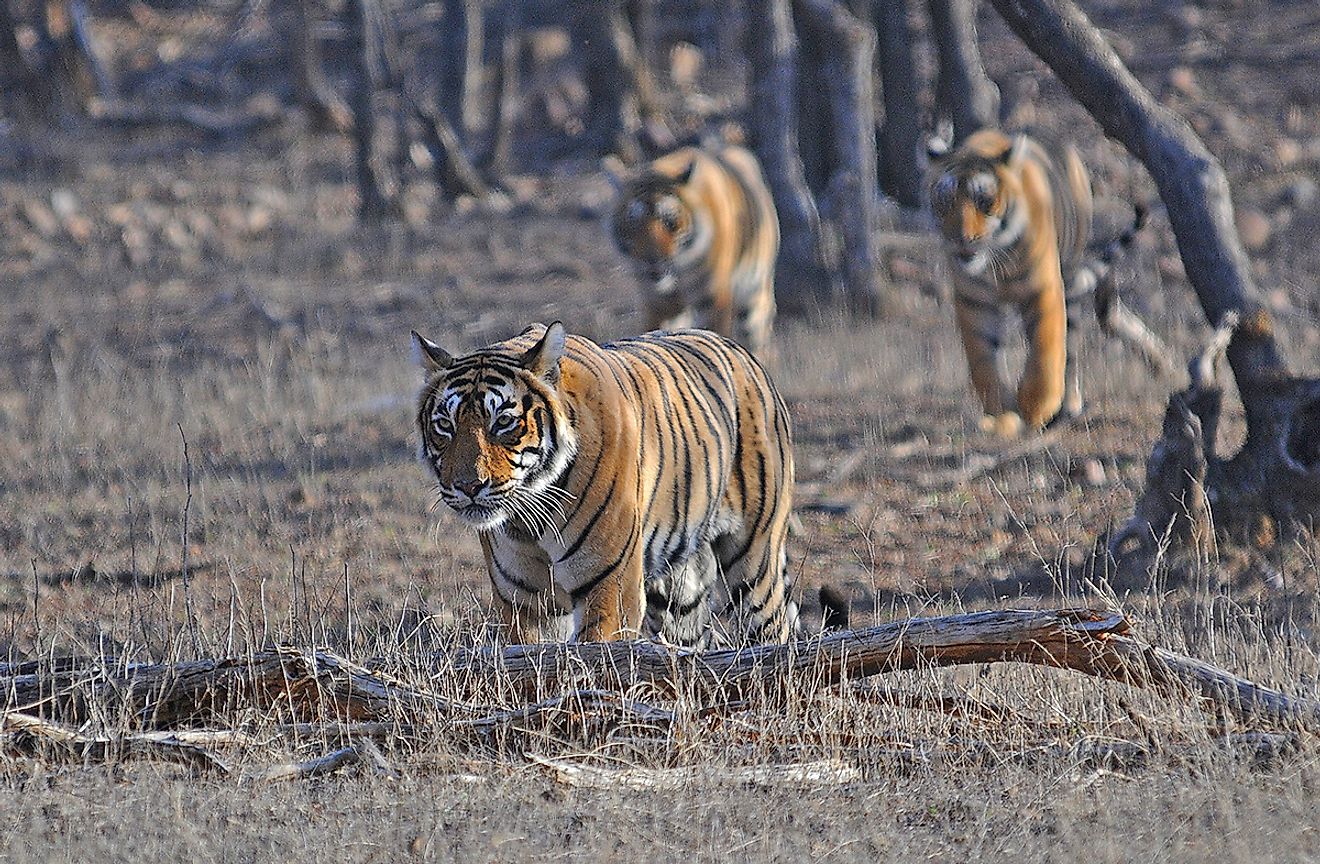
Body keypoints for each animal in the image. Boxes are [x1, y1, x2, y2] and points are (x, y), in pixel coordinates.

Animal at [414, 320, 792, 646]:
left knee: (771, 627)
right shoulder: (526, 603)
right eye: (445, 425)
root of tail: (742, 351)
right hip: (680, 589)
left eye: (504, 422)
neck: (528, 519)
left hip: (754, 563)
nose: (468, 486)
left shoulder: (611, 588)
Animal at [604, 147, 776, 356]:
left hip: (754, 299)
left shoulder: (712, 299)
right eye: (634, 224)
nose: (652, 261)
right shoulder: (656, 303)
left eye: (670, 222)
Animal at [929, 126, 1145, 440]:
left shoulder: (1042, 290)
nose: (961, 240)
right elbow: (982, 361)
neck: (997, 263)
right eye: (946, 202)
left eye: (984, 201)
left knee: (1070, 350)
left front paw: (1035, 408)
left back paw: (1068, 406)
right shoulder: (973, 300)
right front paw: (1001, 415)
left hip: (1070, 276)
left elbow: (1044, 351)